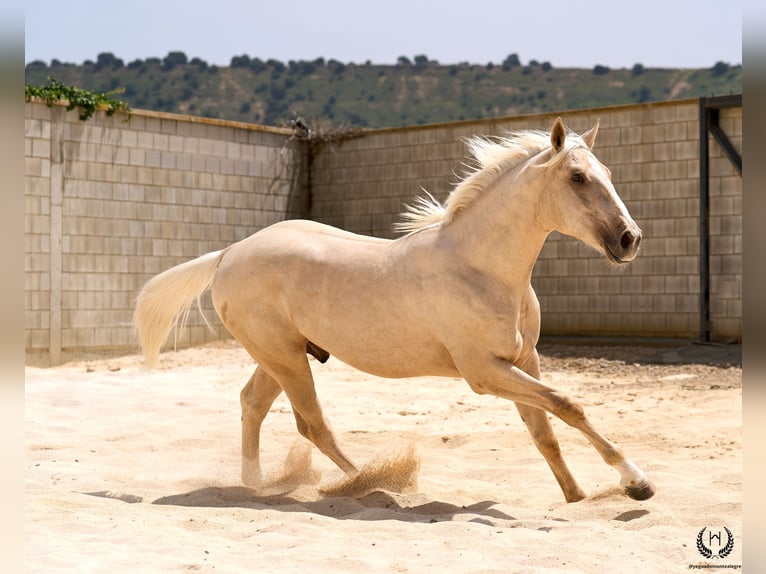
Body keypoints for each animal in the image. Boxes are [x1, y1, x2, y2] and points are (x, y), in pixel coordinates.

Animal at [134, 117, 653, 503]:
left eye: (608, 173)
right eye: (577, 177)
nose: (630, 240)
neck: (480, 267)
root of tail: (229, 254)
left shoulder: (525, 360)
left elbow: (544, 430)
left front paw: (577, 496)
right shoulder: (485, 372)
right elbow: (569, 404)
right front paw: (635, 483)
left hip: (280, 355)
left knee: (253, 405)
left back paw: (257, 485)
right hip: (284, 357)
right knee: (311, 423)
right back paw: (371, 482)